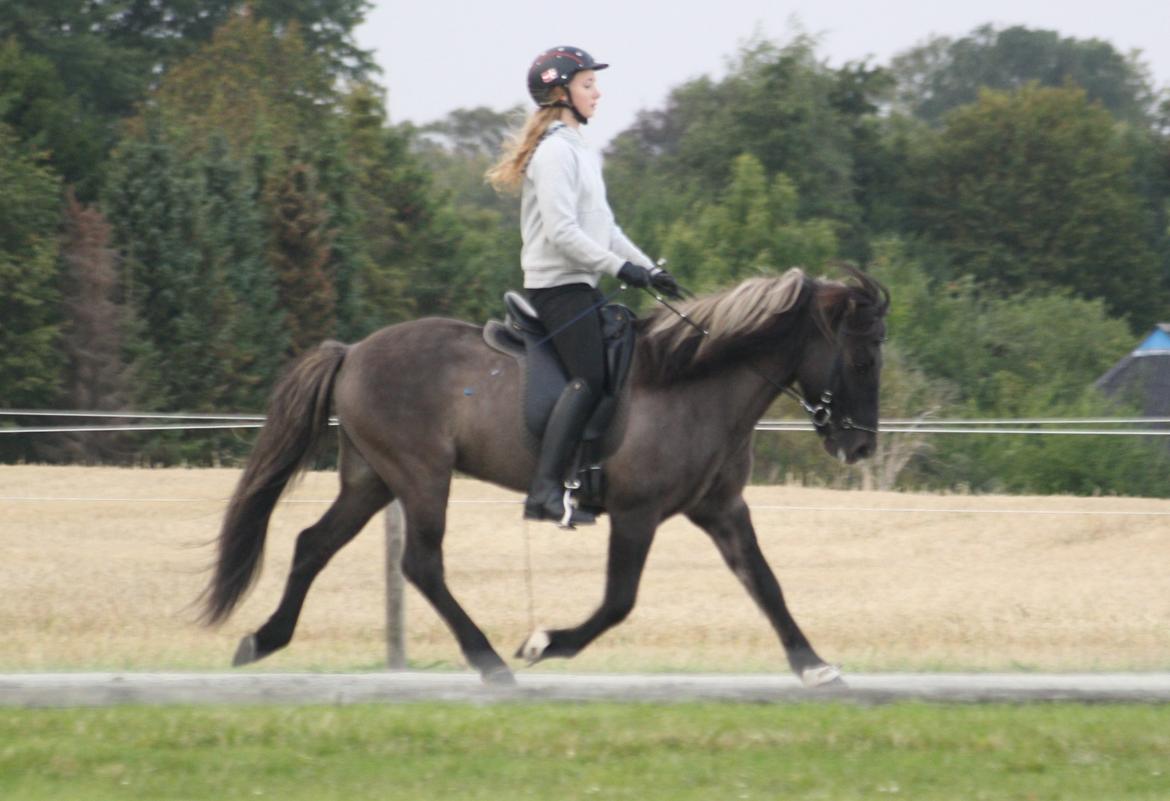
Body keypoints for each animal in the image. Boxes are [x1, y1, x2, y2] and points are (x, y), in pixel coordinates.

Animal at [205, 265, 889, 682]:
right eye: (861, 357)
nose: (858, 447)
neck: (693, 381)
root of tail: (352, 353)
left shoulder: (721, 509)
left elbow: (765, 583)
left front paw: (812, 664)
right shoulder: (638, 513)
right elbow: (618, 601)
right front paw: (545, 643)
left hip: (372, 478)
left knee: (313, 544)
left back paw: (262, 640)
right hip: (420, 475)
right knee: (421, 564)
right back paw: (489, 662)